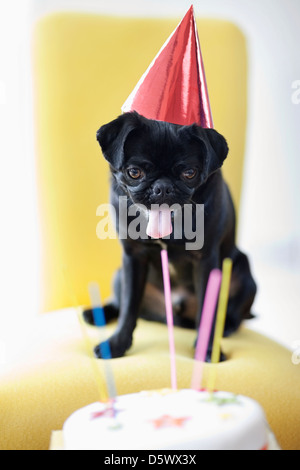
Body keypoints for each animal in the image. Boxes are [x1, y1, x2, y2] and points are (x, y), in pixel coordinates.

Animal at [83, 111, 256, 360]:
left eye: (189, 173)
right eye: (134, 172)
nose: (162, 187)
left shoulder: (206, 260)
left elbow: (208, 311)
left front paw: (208, 350)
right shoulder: (133, 258)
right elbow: (128, 307)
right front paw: (117, 344)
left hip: (244, 272)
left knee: (234, 310)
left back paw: (228, 326)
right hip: (119, 274)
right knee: (122, 302)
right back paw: (97, 313)